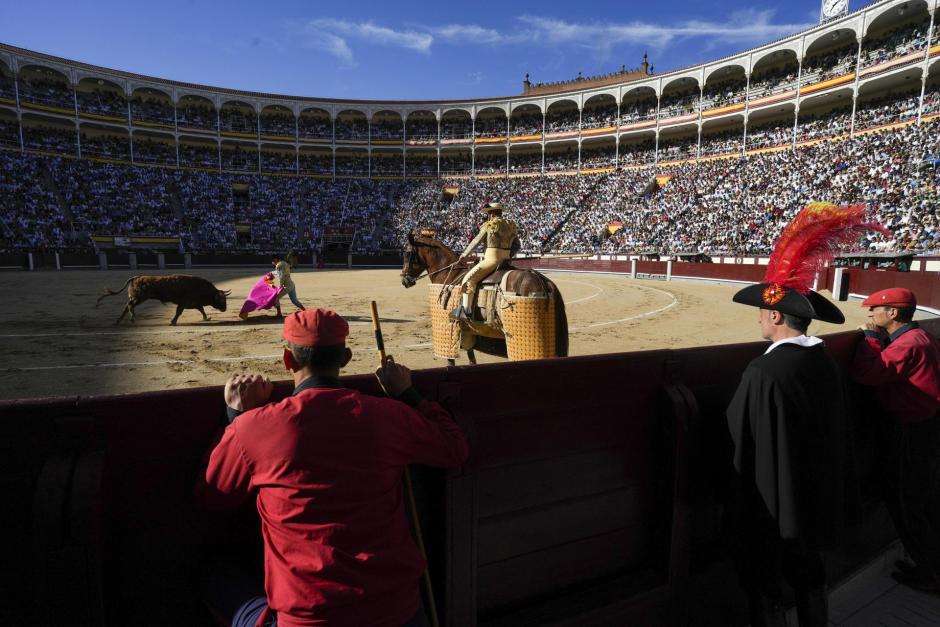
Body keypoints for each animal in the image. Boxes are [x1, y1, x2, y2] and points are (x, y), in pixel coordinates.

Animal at [96, 274, 232, 326]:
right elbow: (179, 312)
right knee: (130, 305)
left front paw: (206, 318)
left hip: (135, 297)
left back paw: (118, 321)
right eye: (221, 300)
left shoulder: (192, 303)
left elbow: (201, 309)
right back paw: (133, 318)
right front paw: (173, 321)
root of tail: (137, 277)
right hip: (140, 298)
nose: (225, 309)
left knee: (126, 306)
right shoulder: (184, 303)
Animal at [400, 233, 568, 366]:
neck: (449, 273)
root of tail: (543, 280)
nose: (404, 280)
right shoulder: (468, 331)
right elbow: (471, 359)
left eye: (408, 253)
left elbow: (451, 361)